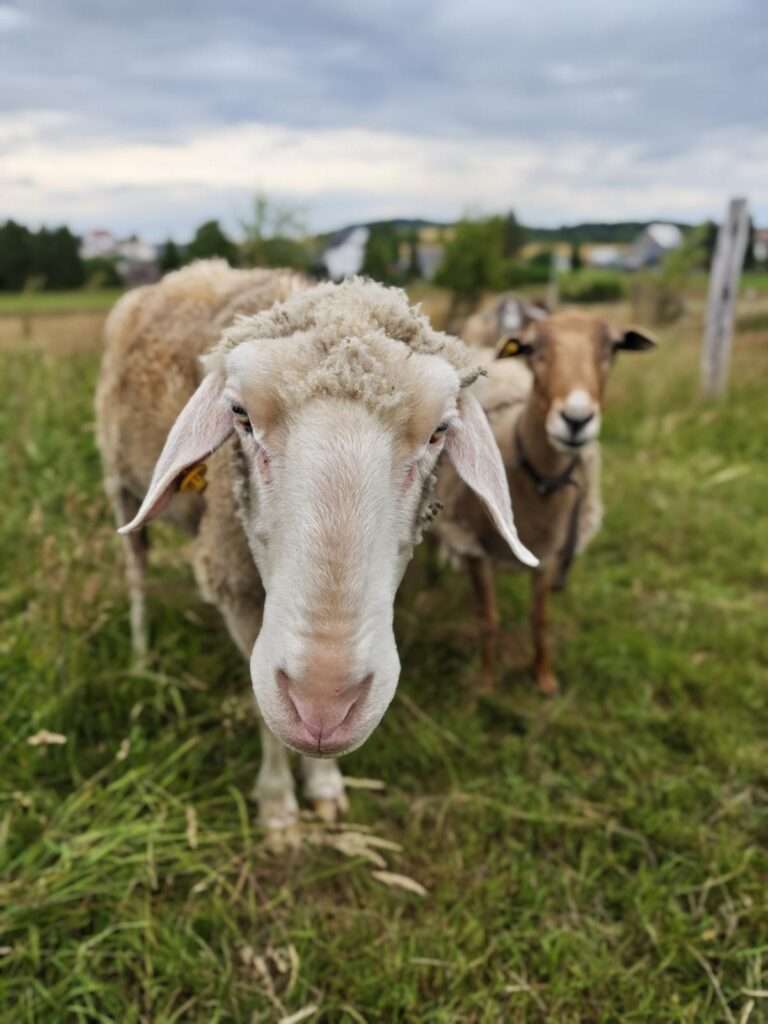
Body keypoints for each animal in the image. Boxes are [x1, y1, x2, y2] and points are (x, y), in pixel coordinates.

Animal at [95, 260, 537, 843]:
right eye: (239, 415)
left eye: (440, 431)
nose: (324, 705)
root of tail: (190, 270)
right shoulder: (237, 590)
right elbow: (263, 707)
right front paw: (279, 807)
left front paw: (324, 786)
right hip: (120, 480)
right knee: (137, 573)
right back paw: (143, 658)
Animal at [434, 308, 655, 695]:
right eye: (532, 348)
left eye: (613, 348)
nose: (576, 419)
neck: (538, 478)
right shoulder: (476, 549)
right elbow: (488, 618)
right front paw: (486, 682)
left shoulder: (549, 551)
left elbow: (540, 619)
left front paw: (544, 677)